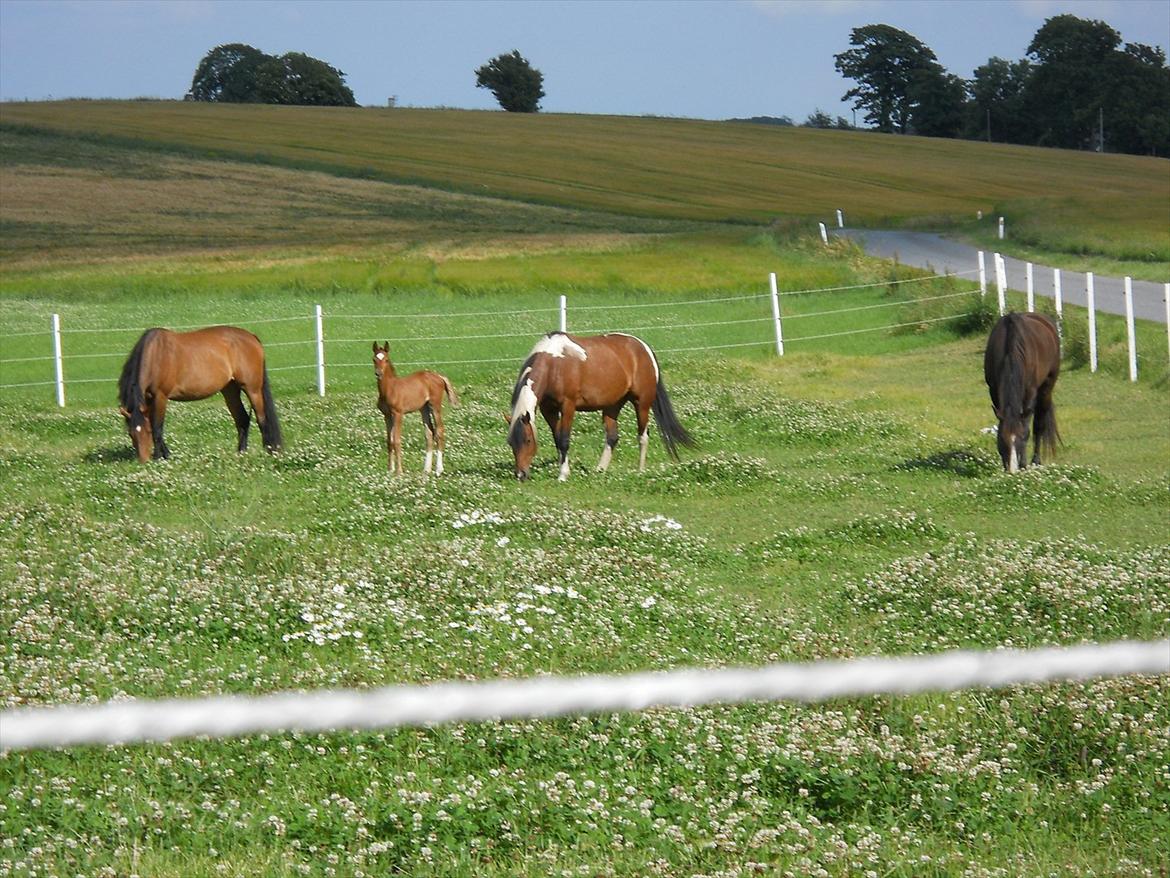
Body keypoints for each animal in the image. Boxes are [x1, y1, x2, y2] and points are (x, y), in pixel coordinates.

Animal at [116, 323, 283, 461]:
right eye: (131, 433)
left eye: (147, 432)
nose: (143, 460)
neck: (155, 355)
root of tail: (252, 337)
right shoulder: (149, 398)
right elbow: (155, 424)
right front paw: (165, 454)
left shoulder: (160, 396)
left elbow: (157, 427)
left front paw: (160, 457)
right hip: (230, 390)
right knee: (242, 420)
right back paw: (241, 452)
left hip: (252, 389)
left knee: (262, 419)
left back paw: (269, 451)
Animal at [372, 341, 458, 477]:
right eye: (374, 359)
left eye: (386, 359)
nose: (378, 373)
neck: (390, 388)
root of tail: (439, 376)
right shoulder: (386, 415)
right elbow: (389, 441)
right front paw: (390, 470)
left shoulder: (398, 414)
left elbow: (397, 440)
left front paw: (399, 471)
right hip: (424, 408)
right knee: (429, 433)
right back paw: (426, 469)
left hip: (435, 405)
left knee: (439, 431)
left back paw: (438, 470)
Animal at [505, 332, 687, 482]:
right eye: (510, 443)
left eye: (528, 440)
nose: (520, 474)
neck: (553, 366)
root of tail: (644, 348)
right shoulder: (548, 409)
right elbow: (557, 439)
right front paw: (562, 467)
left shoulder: (568, 406)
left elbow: (564, 439)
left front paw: (563, 475)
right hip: (612, 406)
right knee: (612, 437)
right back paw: (600, 470)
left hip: (641, 403)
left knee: (643, 436)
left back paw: (640, 470)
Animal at [978, 313, 1062, 475]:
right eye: (1001, 439)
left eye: (1022, 439)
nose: (1012, 470)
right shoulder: (994, 390)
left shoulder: (1030, 393)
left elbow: (1028, 426)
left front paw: (1024, 464)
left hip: (1046, 388)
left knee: (1039, 424)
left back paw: (1036, 461)